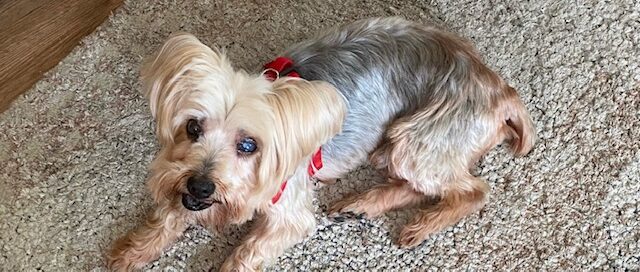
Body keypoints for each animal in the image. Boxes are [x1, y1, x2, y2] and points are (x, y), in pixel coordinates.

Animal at [109, 17, 536, 272]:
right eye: (193, 127)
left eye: (248, 145)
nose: (200, 187)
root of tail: (500, 89)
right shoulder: (178, 180)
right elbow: (165, 217)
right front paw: (130, 252)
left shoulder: (289, 211)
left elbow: (247, 251)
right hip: (392, 148)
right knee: (416, 184)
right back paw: (362, 204)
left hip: (418, 140)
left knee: (471, 190)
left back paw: (422, 224)